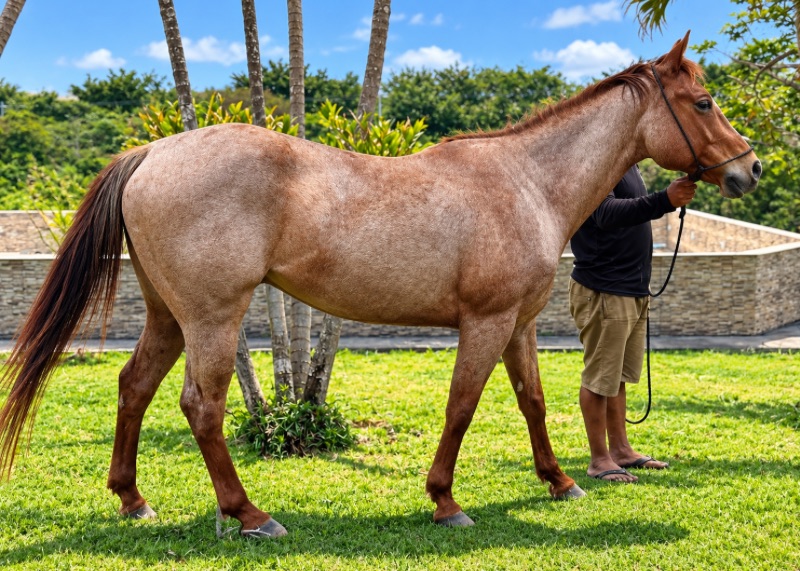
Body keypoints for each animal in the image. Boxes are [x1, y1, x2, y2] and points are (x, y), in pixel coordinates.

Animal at [0, 32, 760, 537]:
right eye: (703, 101)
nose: (749, 168)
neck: (525, 181)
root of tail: (153, 151)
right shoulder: (485, 323)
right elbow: (462, 406)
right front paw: (446, 500)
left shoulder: (518, 324)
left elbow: (534, 404)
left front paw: (560, 481)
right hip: (213, 318)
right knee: (202, 406)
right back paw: (250, 514)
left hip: (167, 314)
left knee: (134, 387)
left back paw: (133, 499)